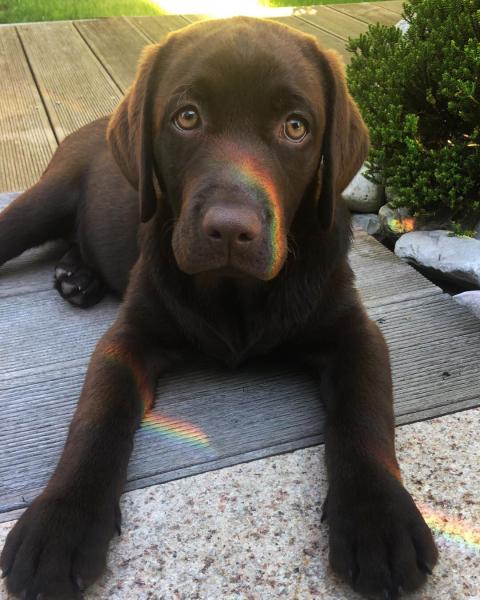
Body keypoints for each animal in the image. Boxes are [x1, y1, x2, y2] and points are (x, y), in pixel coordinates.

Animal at [0, 17, 437, 599]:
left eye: (296, 127)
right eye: (187, 117)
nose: (231, 229)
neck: (235, 293)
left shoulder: (354, 332)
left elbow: (364, 414)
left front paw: (378, 519)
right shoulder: (128, 335)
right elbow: (96, 415)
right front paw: (61, 521)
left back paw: (77, 275)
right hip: (46, 198)